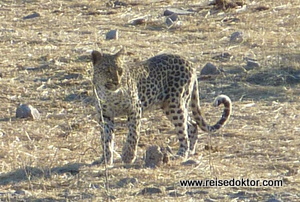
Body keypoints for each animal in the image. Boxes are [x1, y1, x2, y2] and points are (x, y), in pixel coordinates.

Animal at [91, 49, 232, 164]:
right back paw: (191, 150)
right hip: (170, 106)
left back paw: (182, 154)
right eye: (107, 70)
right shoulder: (105, 116)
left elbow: (133, 135)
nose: (117, 82)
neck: (109, 93)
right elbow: (106, 139)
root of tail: (189, 62)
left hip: (175, 105)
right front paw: (105, 159)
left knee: (184, 129)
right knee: (192, 124)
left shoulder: (135, 110)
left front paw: (128, 156)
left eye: (120, 71)